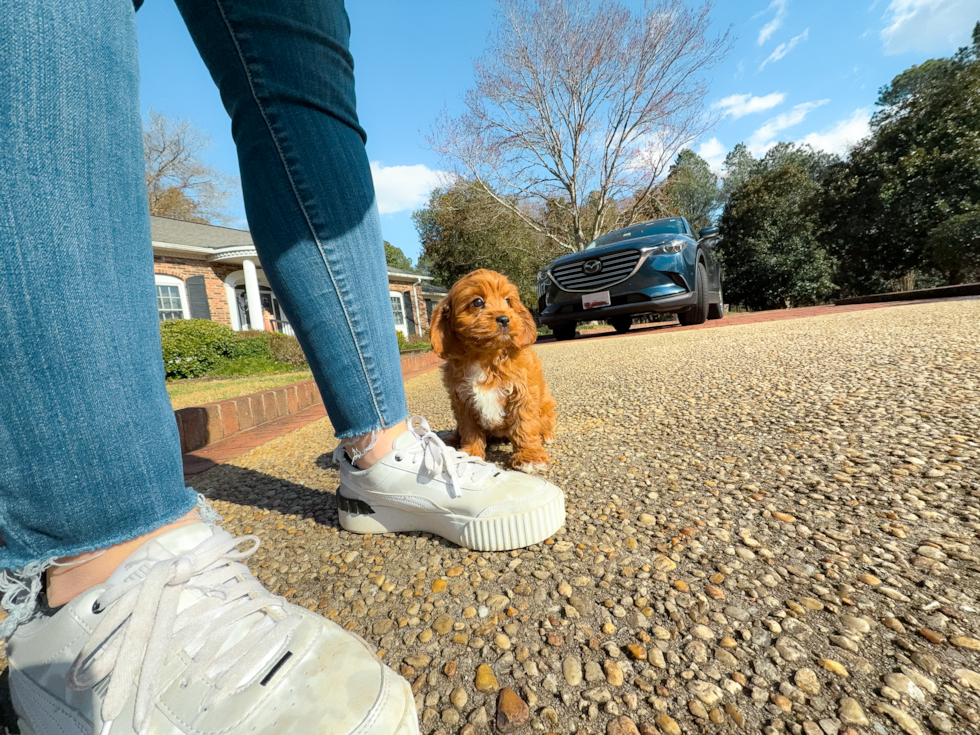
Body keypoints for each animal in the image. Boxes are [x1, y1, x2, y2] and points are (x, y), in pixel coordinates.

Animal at [430, 270, 560, 472]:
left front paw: (530, 457)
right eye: (477, 302)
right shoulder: (462, 400)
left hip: (546, 404)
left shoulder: (522, 393)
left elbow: (524, 425)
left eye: (508, 301)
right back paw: (451, 439)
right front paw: (470, 454)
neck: (486, 356)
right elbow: (469, 429)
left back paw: (547, 435)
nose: (505, 318)